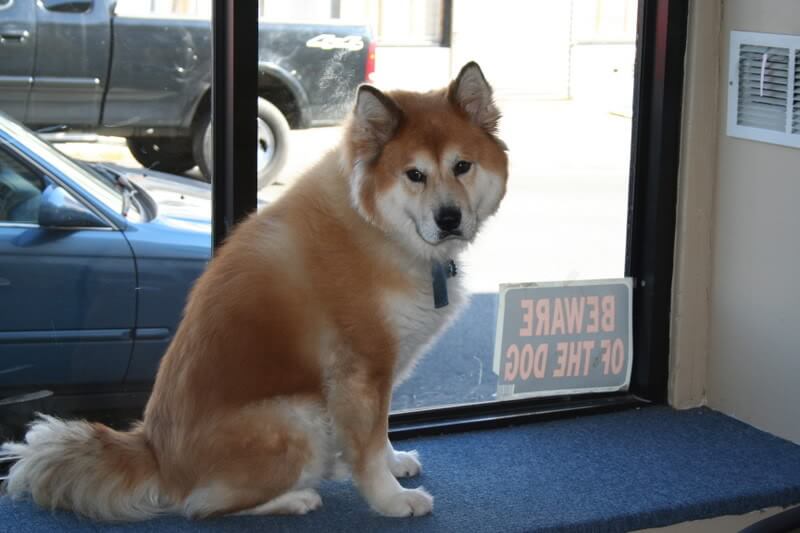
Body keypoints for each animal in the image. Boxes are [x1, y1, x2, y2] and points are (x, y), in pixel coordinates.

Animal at [0, 60, 510, 516]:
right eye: (414, 175)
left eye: (462, 166)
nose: (449, 218)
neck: (377, 228)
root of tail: (156, 456)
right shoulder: (360, 369)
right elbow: (366, 449)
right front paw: (391, 500)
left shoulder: (378, 374)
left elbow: (380, 431)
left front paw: (394, 462)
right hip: (299, 415)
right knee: (201, 506)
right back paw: (296, 498)